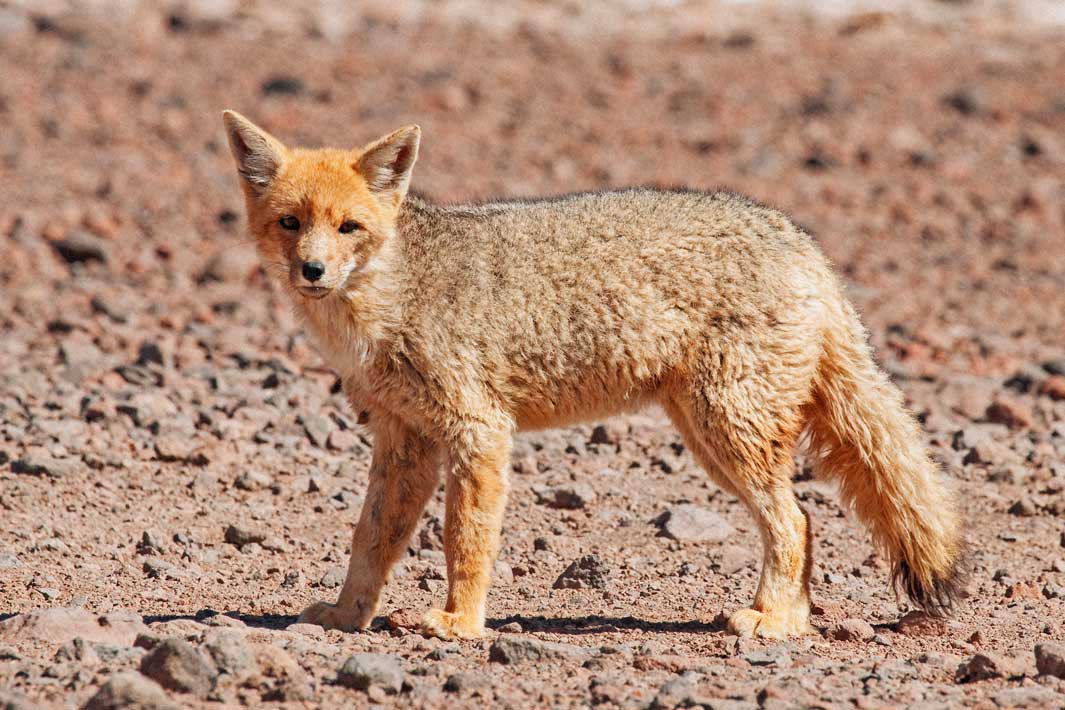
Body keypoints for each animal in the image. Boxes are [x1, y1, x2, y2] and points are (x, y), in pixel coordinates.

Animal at [220, 112, 962, 642]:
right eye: (290, 223)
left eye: (349, 227)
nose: (312, 271)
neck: (389, 297)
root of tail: (801, 241)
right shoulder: (405, 439)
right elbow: (370, 539)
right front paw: (347, 615)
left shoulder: (479, 431)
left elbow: (466, 537)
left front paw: (459, 623)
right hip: (709, 438)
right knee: (802, 521)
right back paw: (790, 620)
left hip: (730, 434)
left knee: (797, 521)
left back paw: (771, 621)